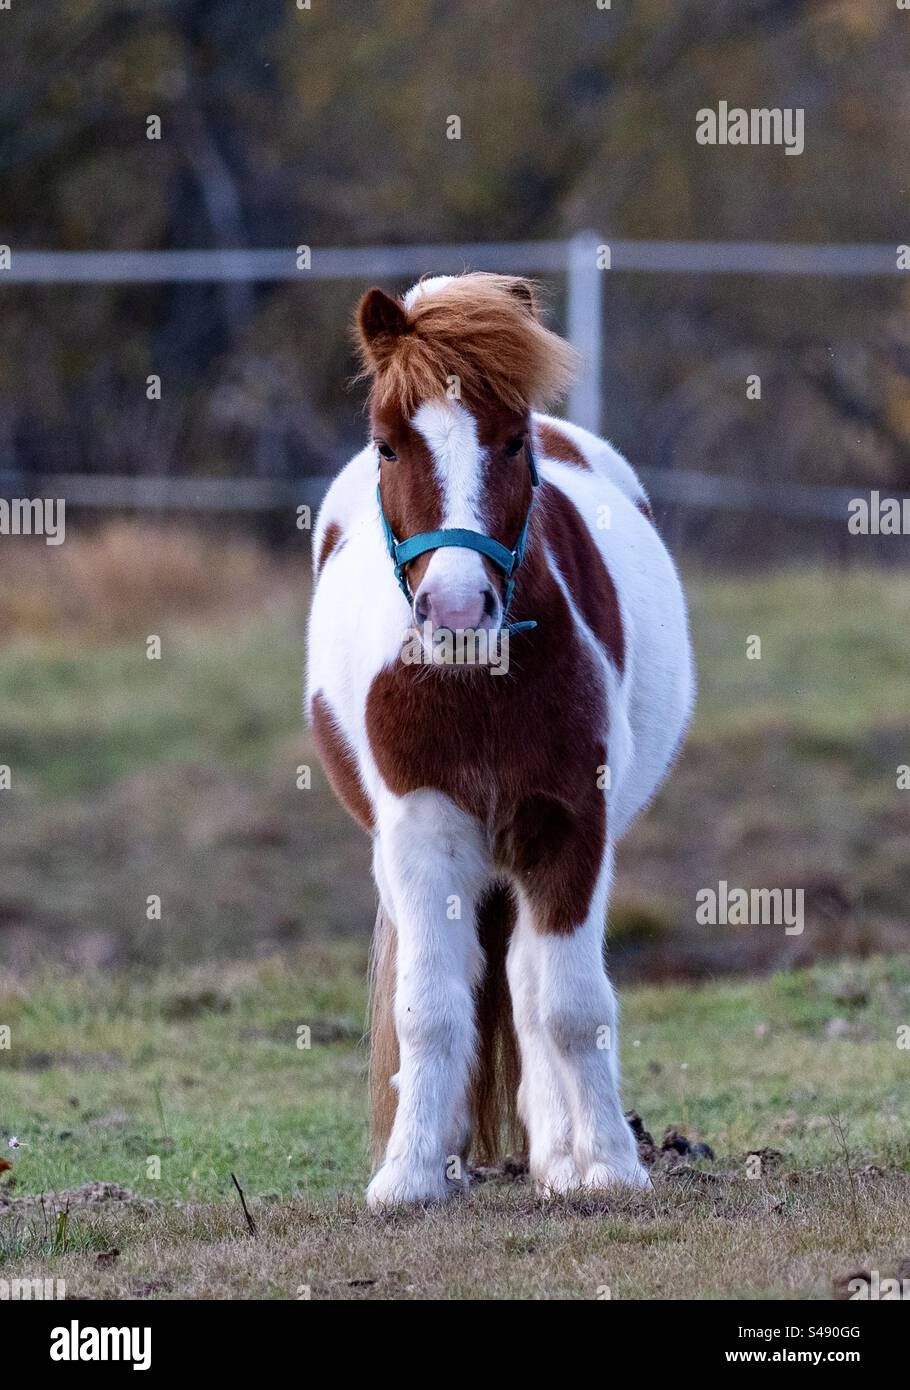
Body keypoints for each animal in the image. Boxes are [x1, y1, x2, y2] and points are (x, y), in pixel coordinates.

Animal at [306, 272, 694, 1208]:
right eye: (389, 447)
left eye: (515, 444)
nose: (456, 609)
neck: (475, 684)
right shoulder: (423, 834)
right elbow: (429, 1007)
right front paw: (410, 1175)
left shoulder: (569, 827)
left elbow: (572, 1005)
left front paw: (610, 1168)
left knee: (528, 978)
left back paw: (558, 1157)